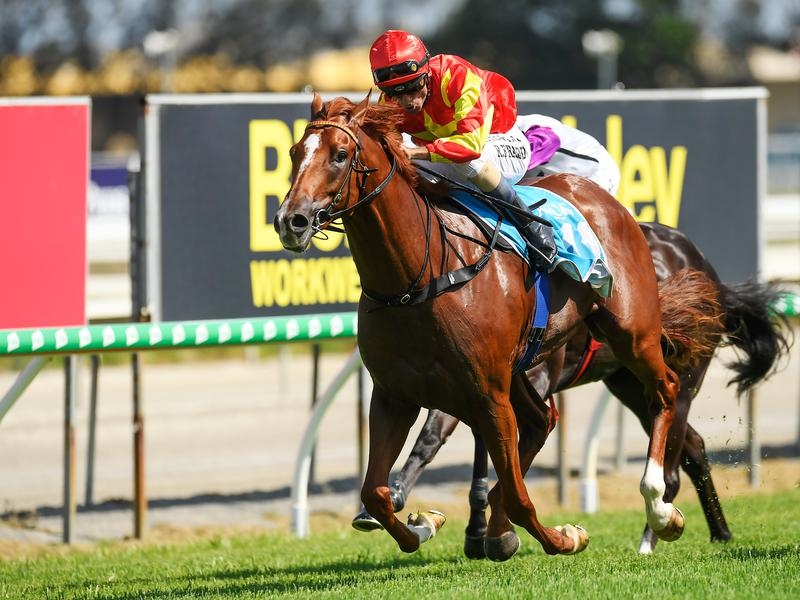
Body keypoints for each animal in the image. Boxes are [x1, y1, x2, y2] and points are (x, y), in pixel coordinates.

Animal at [275, 92, 723, 559]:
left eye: (340, 155)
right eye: (294, 153)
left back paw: (659, 509)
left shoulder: (488, 392)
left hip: (632, 333)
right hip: (552, 372)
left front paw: (562, 537)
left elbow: (517, 493)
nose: (291, 220)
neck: (418, 277)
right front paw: (424, 524)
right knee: (547, 420)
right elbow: (376, 493)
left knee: (665, 391)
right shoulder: (395, 394)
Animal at [351, 221, 793, 556]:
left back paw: (651, 536)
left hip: (678, 377)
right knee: (694, 448)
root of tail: (706, 270)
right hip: (628, 386)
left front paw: (487, 529)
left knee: (671, 463)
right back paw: (719, 531)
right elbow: (447, 436)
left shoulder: (521, 377)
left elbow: (473, 437)